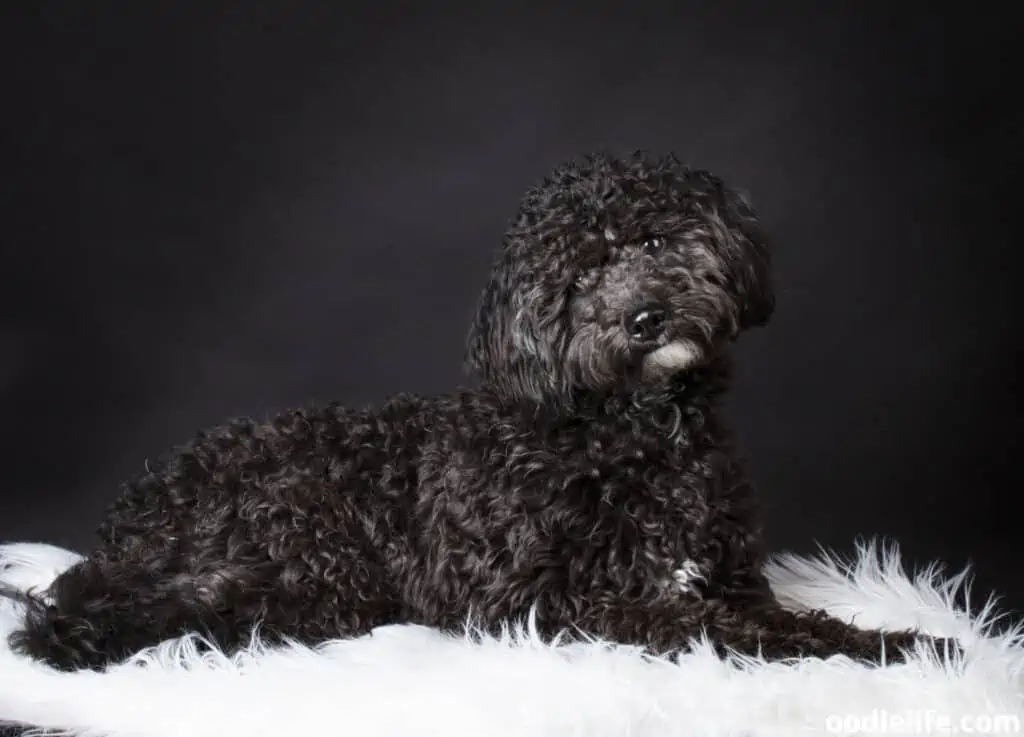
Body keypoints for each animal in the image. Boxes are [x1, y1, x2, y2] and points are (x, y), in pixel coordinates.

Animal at [4, 152, 946, 671]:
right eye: (579, 278)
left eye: (653, 239)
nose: (646, 317)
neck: (634, 430)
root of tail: (137, 508)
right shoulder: (544, 600)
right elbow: (708, 623)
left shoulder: (733, 575)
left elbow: (792, 618)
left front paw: (900, 640)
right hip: (314, 550)